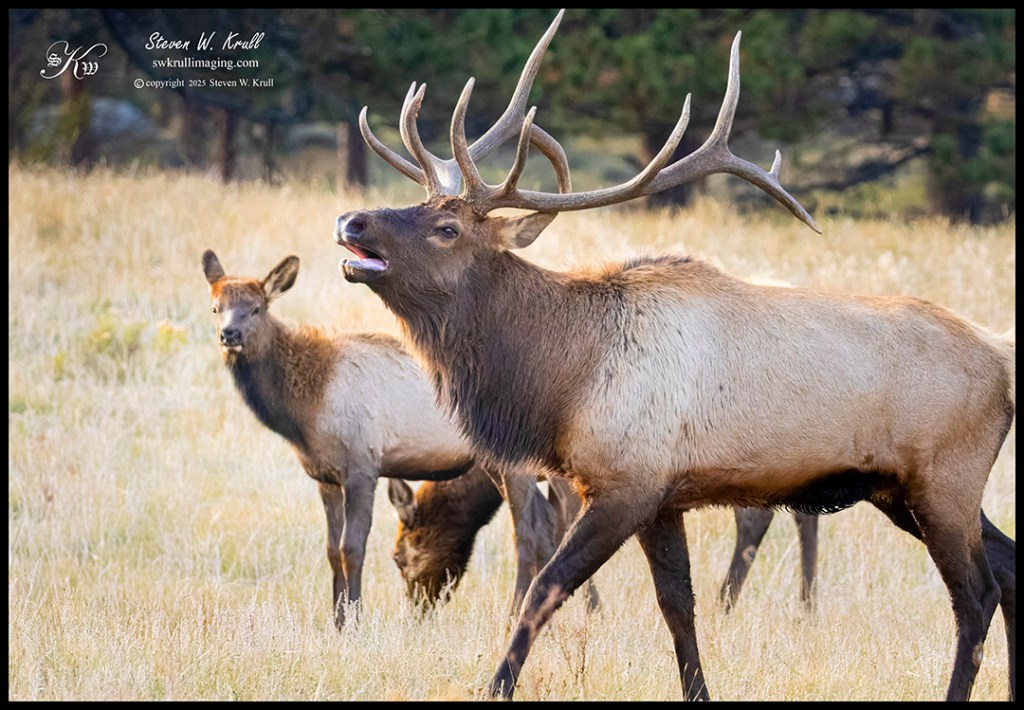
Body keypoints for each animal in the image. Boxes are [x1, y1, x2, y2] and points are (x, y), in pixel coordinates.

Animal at [201, 249, 566, 629]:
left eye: (257, 308)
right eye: (215, 307)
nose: (229, 334)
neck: (304, 412)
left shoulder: (362, 464)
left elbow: (351, 548)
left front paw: (354, 621)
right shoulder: (325, 477)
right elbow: (331, 550)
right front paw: (337, 622)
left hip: (517, 463)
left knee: (528, 531)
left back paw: (513, 617)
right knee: (546, 524)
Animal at [332, 9, 1015, 701]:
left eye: (448, 228)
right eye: (421, 206)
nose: (351, 221)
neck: (562, 379)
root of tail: (1002, 356)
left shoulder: (626, 483)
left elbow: (545, 591)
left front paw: (496, 686)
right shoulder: (664, 497)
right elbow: (678, 607)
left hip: (944, 478)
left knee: (978, 594)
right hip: (907, 489)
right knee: (1009, 569)